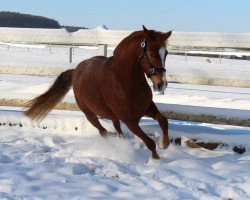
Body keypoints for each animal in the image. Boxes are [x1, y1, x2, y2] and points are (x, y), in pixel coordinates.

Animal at [24, 25, 172, 159]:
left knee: (117, 130)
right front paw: (155, 160)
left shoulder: (147, 108)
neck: (124, 83)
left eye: (166, 53)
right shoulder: (130, 121)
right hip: (89, 113)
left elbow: (163, 120)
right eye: (151, 54)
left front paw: (164, 144)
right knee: (103, 131)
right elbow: (149, 142)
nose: (161, 84)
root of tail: (75, 71)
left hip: (112, 116)